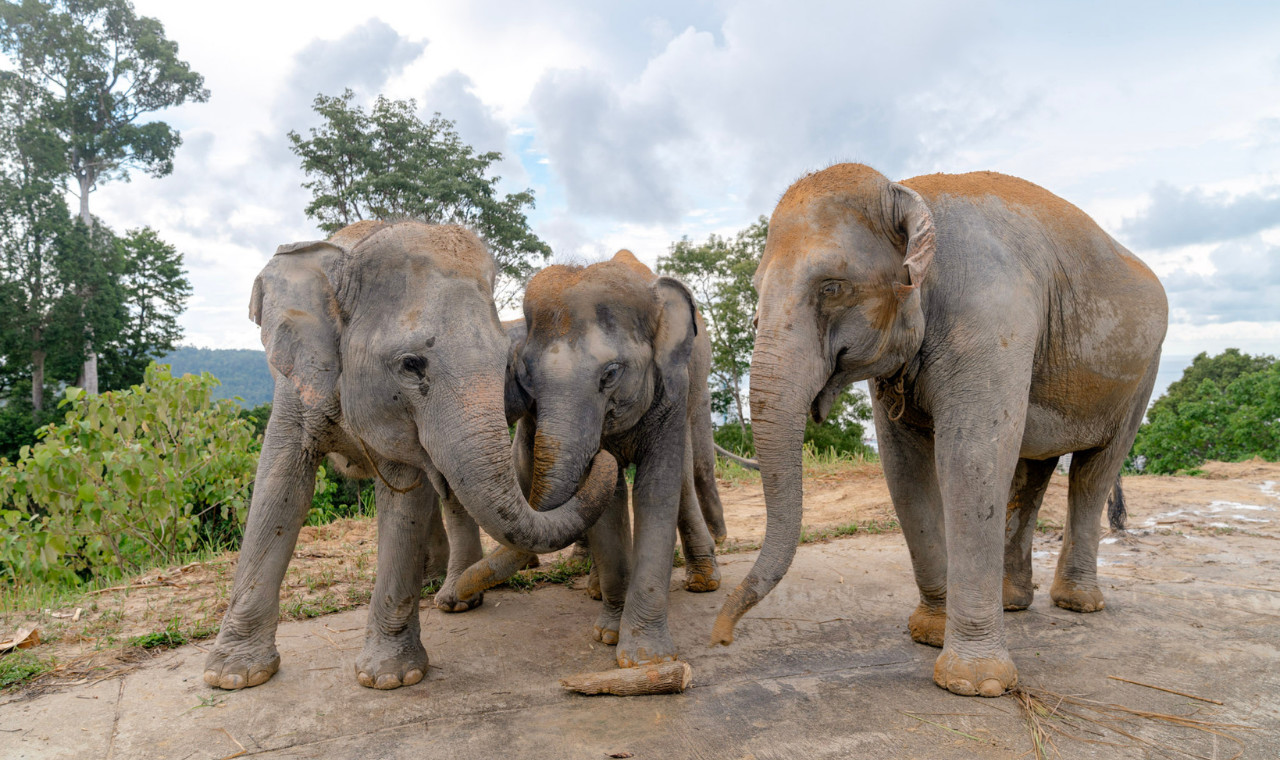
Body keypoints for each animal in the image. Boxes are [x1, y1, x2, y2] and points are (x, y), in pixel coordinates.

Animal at [202, 220, 617, 691]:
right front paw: (233, 677)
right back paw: (447, 588)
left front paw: (391, 679)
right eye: (411, 364)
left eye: (507, 365)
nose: (605, 457)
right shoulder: (295, 386)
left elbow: (406, 499)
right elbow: (278, 487)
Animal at [438, 249, 724, 668]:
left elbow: (655, 491)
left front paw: (646, 658)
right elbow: (610, 502)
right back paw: (594, 589)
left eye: (611, 373)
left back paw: (705, 583)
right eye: (526, 378)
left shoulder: (671, 391)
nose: (449, 602)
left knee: (684, 478)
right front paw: (608, 634)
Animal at [712, 164, 1167, 698]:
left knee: (1094, 473)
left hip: (1142, 375)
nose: (720, 638)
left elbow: (969, 462)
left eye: (832, 287)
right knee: (1033, 471)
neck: (907, 193)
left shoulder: (992, 318)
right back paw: (1012, 601)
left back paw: (1077, 604)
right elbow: (905, 471)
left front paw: (975, 683)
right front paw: (929, 633)